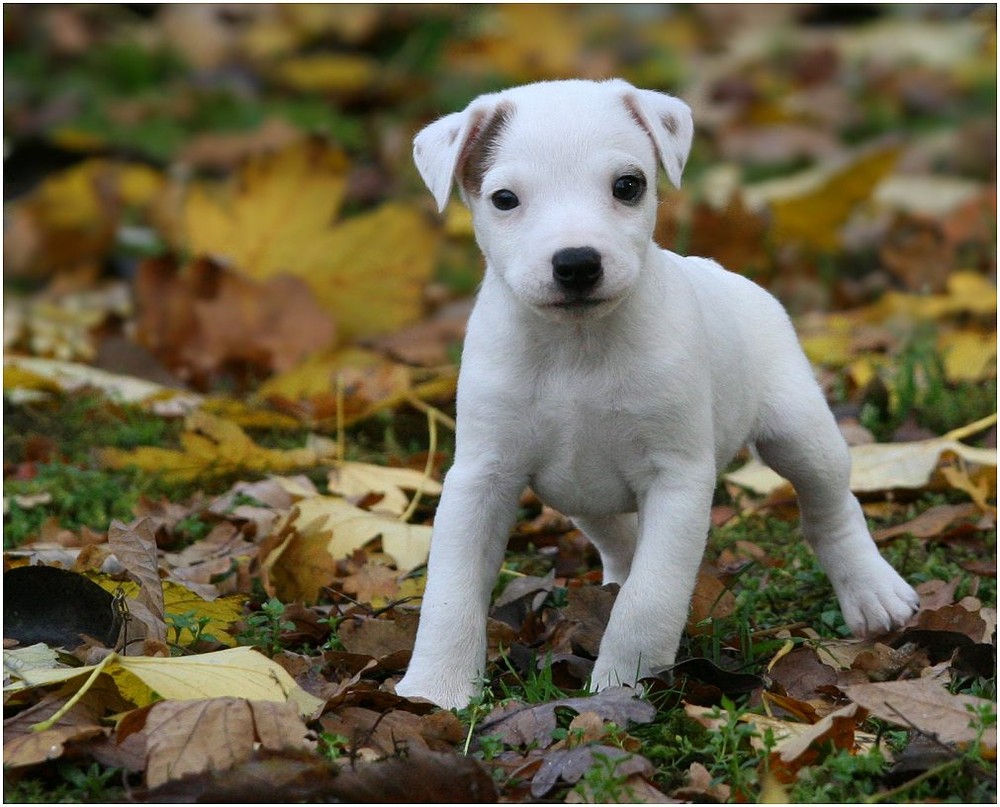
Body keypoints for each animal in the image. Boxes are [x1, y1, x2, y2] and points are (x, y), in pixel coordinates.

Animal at [394, 79, 916, 712]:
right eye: (504, 199)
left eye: (628, 185)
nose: (576, 264)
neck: (579, 347)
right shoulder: (481, 478)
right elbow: (450, 592)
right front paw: (433, 691)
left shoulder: (678, 478)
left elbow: (652, 597)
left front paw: (622, 687)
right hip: (581, 496)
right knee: (621, 542)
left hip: (800, 433)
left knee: (830, 505)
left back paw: (872, 591)